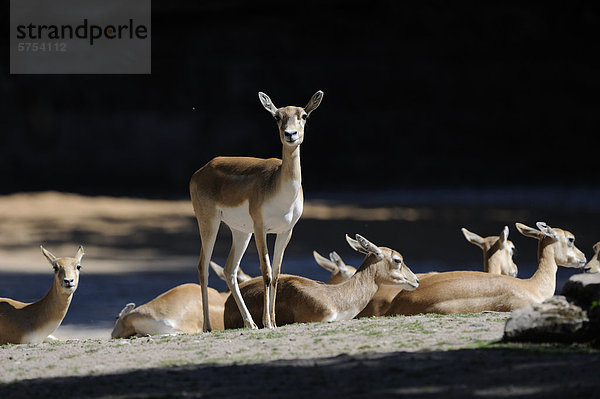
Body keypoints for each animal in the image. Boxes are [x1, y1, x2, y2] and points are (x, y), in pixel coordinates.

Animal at [191, 90, 324, 332]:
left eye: (304, 115)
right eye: (277, 116)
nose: (290, 134)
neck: (280, 188)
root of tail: (201, 170)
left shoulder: (286, 231)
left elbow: (277, 273)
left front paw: (273, 321)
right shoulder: (261, 227)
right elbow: (266, 272)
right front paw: (268, 322)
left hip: (241, 232)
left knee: (229, 270)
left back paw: (249, 323)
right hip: (209, 222)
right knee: (203, 266)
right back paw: (208, 326)